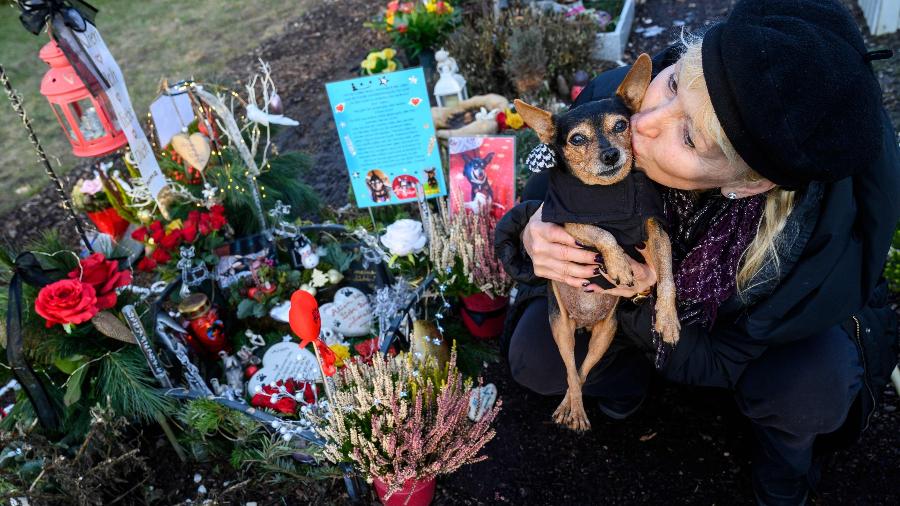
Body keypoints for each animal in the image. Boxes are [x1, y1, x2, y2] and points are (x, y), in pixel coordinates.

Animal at [516, 56, 680, 434]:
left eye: (621, 126)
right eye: (577, 139)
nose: (610, 154)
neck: (607, 194)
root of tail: (583, 323)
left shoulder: (655, 229)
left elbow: (667, 276)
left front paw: (667, 318)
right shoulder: (564, 220)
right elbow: (600, 232)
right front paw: (619, 264)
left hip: (605, 334)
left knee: (582, 370)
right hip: (560, 327)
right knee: (570, 371)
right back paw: (572, 410)